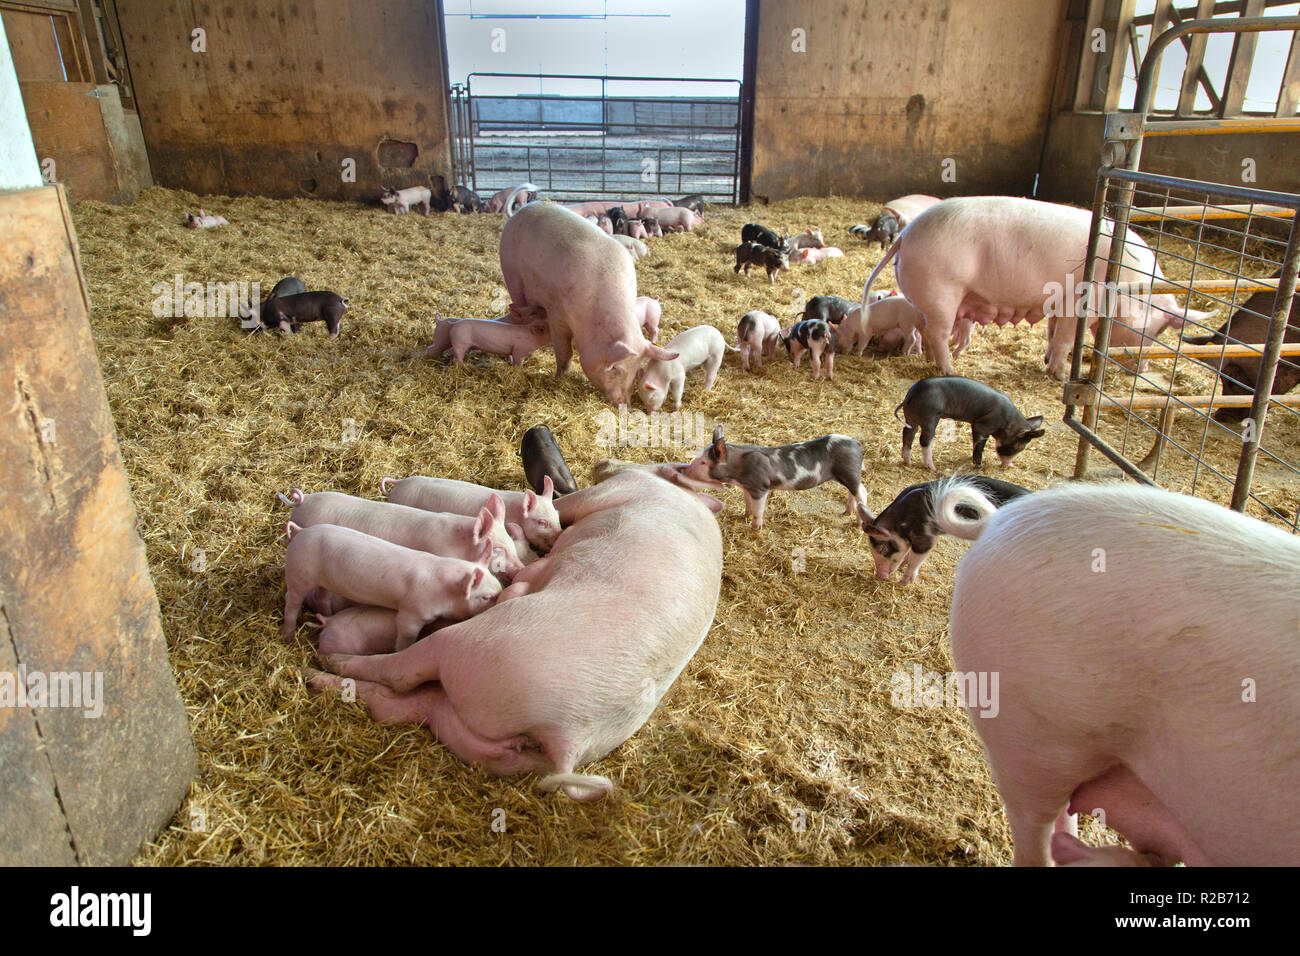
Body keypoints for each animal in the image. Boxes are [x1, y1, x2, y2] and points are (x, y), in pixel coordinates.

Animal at [310, 468, 728, 801]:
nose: (601, 463)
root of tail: (568, 737)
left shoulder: (614, 489)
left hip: (468, 648)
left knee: (399, 675)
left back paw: (323, 664)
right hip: (474, 734)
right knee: (392, 704)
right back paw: (318, 678)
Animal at [499, 204, 681, 405]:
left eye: (637, 368)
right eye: (615, 368)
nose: (623, 403)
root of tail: (524, 209)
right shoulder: (557, 312)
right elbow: (565, 353)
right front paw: (559, 378)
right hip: (510, 272)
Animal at [857, 196, 1201, 379]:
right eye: (1159, 330)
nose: (1142, 369)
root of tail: (905, 236)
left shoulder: (1060, 302)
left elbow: (1052, 334)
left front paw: (1048, 362)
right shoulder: (1081, 303)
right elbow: (1065, 340)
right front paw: (1061, 376)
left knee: (928, 332)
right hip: (942, 290)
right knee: (936, 333)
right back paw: (952, 371)